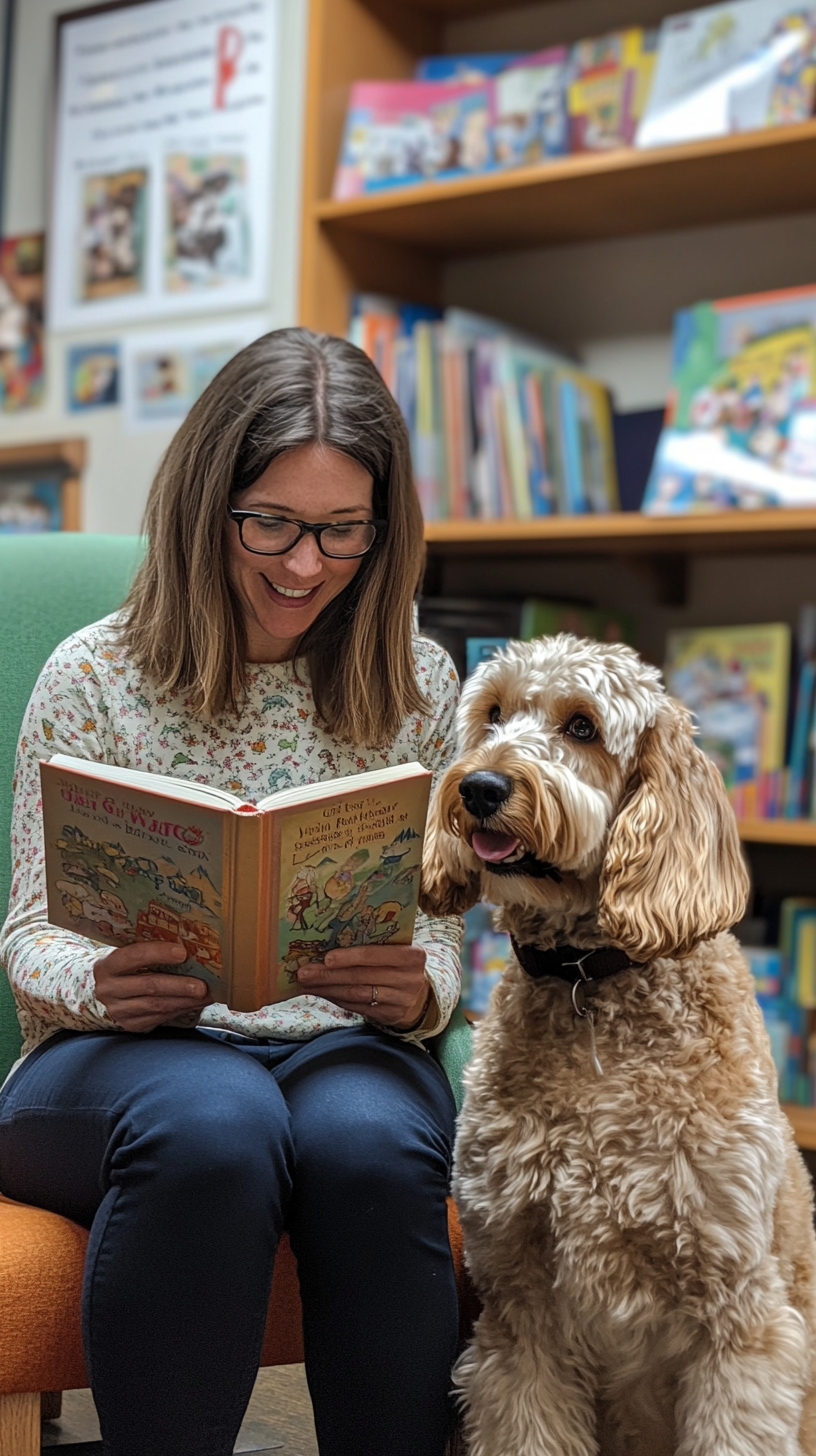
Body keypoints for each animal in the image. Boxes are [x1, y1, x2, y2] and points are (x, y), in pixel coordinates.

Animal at [419, 637, 816, 1456]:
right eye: (492, 714)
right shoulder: (519, 1306)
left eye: (582, 727)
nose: (478, 785)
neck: (590, 981)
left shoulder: (742, 1322)